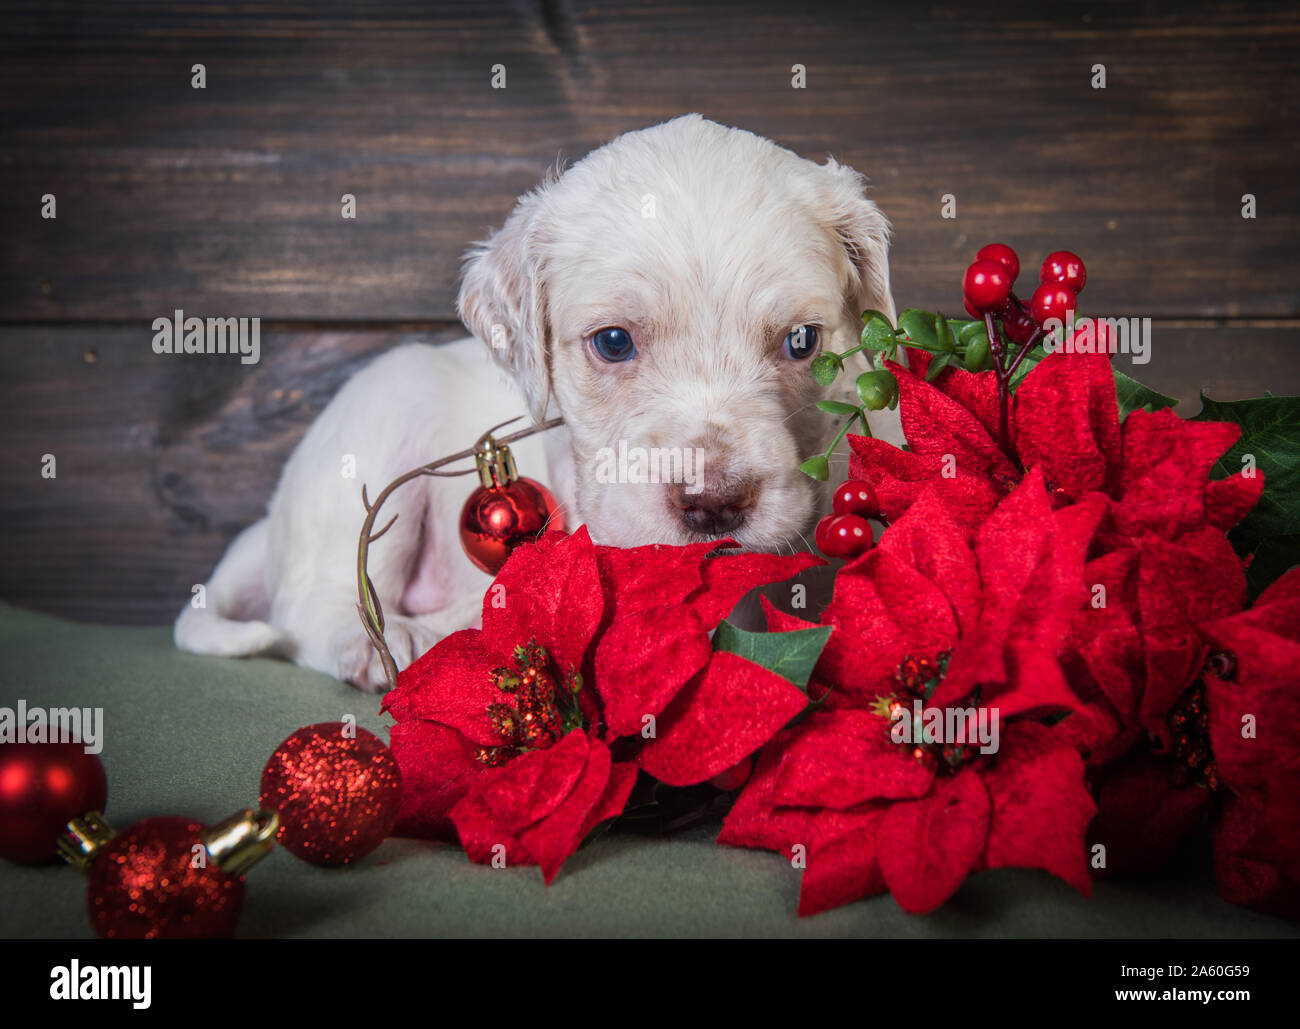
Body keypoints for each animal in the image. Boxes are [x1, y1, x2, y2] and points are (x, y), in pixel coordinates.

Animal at [178, 114, 899, 691]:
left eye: (802, 341)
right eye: (613, 342)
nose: (714, 503)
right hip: (385, 411)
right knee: (307, 606)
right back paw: (390, 638)